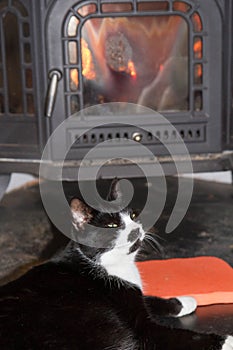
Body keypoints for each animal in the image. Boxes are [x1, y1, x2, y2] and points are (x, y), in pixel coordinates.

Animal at [0, 179, 232, 348]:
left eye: (134, 215)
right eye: (111, 225)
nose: (136, 230)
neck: (114, 267)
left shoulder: (132, 297)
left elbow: (148, 299)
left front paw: (185, 301)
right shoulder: (143, 328)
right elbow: (183, 336)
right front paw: (228, 340)